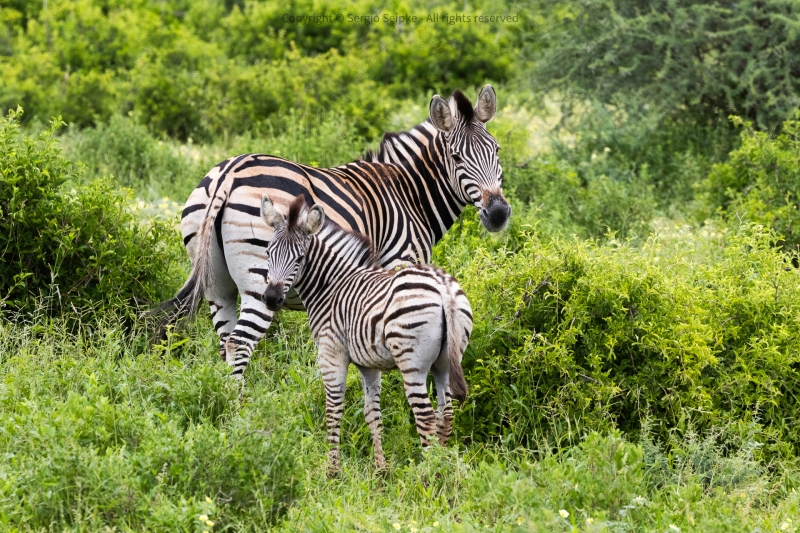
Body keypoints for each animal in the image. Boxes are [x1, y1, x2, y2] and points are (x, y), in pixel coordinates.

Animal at [156, 85, 507, 378]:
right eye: (456, 157)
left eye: (497, 150)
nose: (499, 213)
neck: (409, 193)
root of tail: (228, 174)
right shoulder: (399, 265)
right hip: (261, 278)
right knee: (239, 342)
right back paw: (240, 411)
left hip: (217, 284)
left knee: (224, 341)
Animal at [260, 194, 472, 474]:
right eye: (268, 252)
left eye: (300, 258)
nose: (271, 299)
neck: (331, 286)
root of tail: (443, 288)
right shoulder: (368, 364)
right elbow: (372, 413)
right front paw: (381, 470)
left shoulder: (331, 355)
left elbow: (333, 411)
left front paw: (333, 471)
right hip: (446, 361)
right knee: (445, 413)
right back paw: (442, 468)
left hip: (412, 362)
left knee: (425, 416)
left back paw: (426, 474)